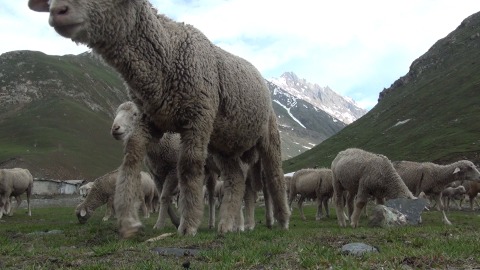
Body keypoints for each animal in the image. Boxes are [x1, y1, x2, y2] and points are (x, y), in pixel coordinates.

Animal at [31, 0, 292, 236]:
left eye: (133, 114)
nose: (57, 11)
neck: (168, 55)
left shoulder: (196, 120)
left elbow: (187, 170)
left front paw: (186, 225)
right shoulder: (151, 124)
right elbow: (132, 160)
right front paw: (131, 219)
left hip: (266, 136)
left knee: (272, 179)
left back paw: (277, 221)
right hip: (223, 145)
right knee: (235, 180)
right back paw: (227, 224)